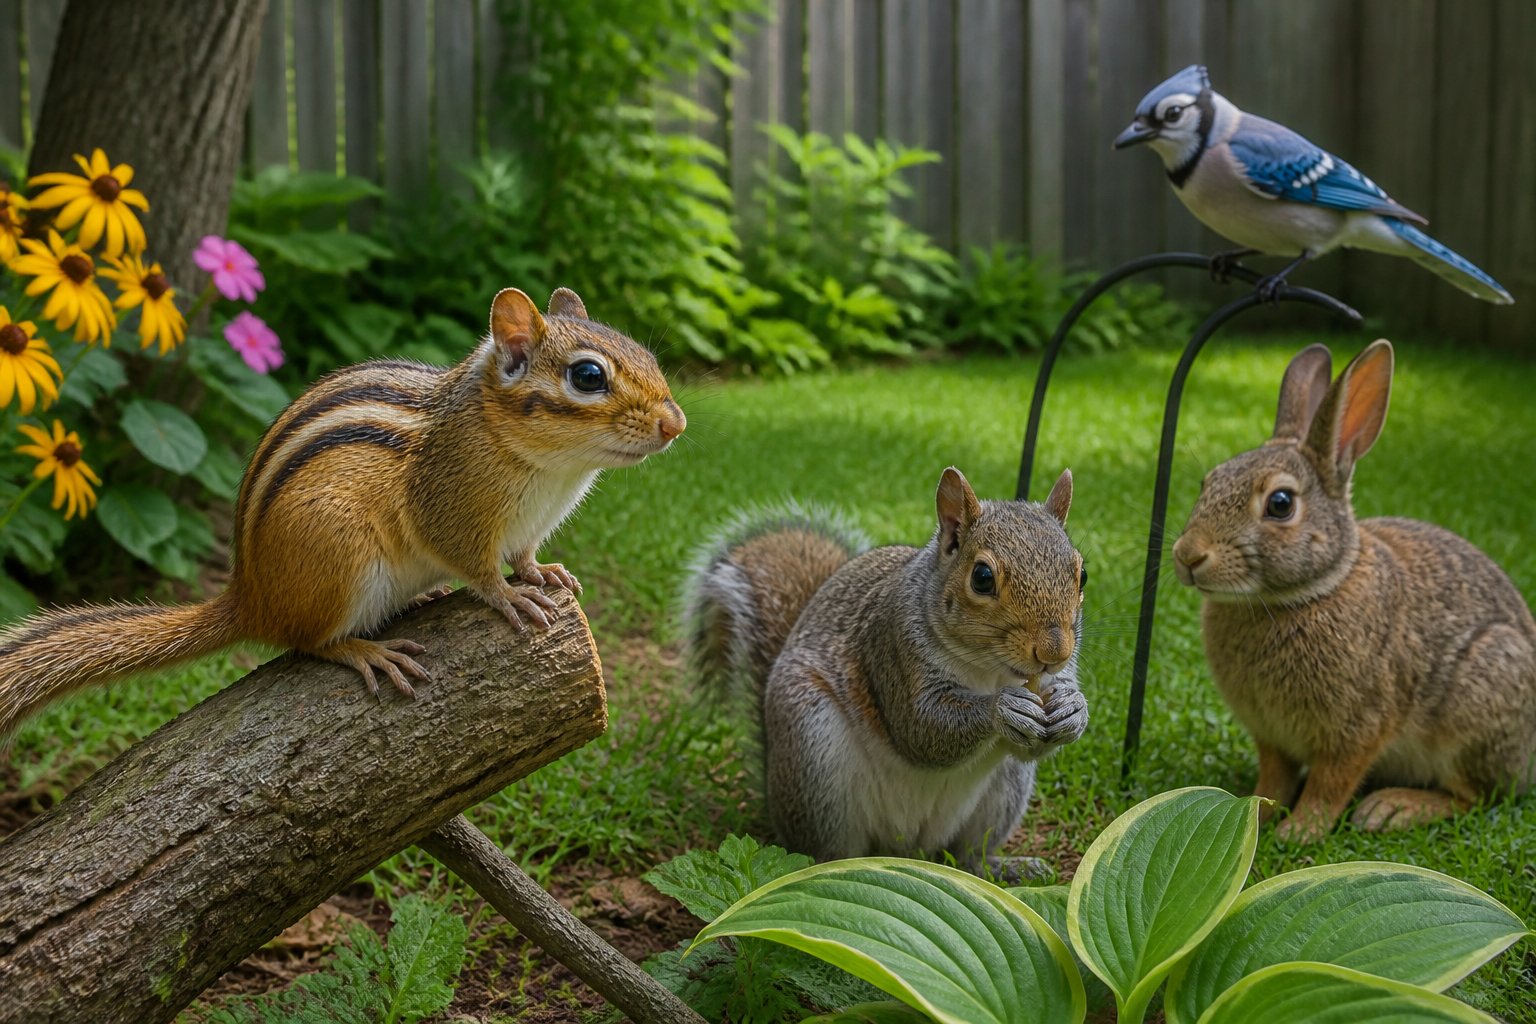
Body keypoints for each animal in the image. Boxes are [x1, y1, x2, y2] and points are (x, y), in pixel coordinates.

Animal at [0, 287, 686, 737]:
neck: (554, 471)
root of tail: (251, 595)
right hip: (341, 556)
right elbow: (479, 568)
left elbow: (524, 555)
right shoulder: (452, 513)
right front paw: (509, 596)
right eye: (589, 376)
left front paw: (545, 574)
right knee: (305, 642)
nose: (675, 424)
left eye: (648, 357)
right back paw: (364, 651)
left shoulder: (527, 529)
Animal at [683, 466, 1089, 878]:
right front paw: (1002, 709)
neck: (988, 669)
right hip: (812, 755)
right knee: (825, 852)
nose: (1053, 652)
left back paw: (1008, 868)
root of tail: (907, 846)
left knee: (968, 855)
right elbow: (920, 729)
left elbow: (1036, 735)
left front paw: (1074, 708)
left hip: (1002, 795)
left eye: (1082, 574)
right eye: (982, 577)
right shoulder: (894, 646)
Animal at [1172, 339, 1536, 843]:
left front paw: (1299, 832)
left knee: (1476, 797)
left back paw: (1392, 809)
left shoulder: (1358, 728)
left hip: (1483, 700)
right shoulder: (1271, 736)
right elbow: (1275, 777)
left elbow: (1331, 783)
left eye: (1280, 504)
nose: (1188, 556)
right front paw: (1254, 813)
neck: (1302, 595)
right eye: (1208, 482)